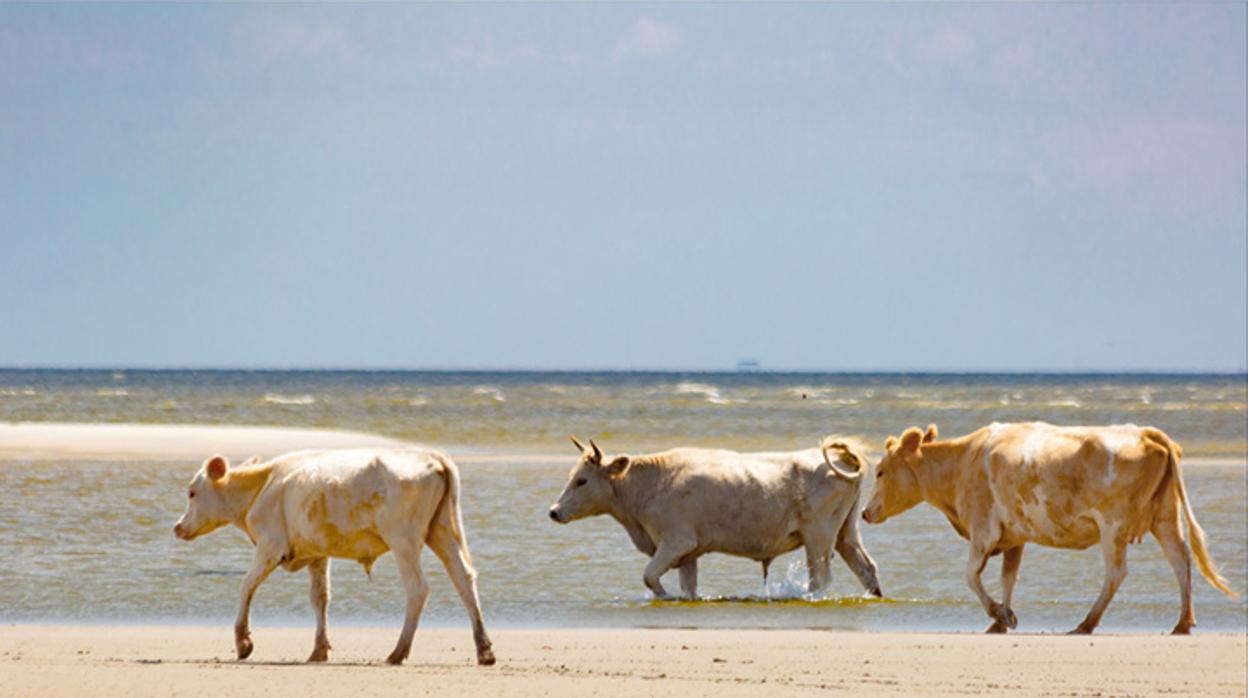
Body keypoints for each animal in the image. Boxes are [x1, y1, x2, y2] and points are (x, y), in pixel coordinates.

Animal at [173, 447, 494, 664]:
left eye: (192, 492)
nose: (177, 526)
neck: (263, 486)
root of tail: (431, 455)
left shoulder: (270, 545)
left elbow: (246, 586)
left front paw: (243, 642)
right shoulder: (317, 553)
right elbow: (320, 598)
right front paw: (319, 649)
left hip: (403, 539)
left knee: (418, 588)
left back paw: (398, 652)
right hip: (441, 532)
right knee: (464, 579)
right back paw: (484, 649)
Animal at [544, 439, 878, 599]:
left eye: (582, 481)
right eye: (572, 476)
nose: (554, 511)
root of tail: (843, 460)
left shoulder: (676, 541)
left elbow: (650, 576)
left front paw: (662, 595)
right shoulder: (687, 553)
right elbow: (687, 587)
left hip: (818, 536)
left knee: (820, 578)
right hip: (845, 533)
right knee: (866, 568)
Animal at [863, 424, 1233, 636]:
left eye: (880, 471)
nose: (866, 513)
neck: (962, 462)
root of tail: (1146, 432)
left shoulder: (983, 529)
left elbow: (970, 577)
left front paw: (999, 613)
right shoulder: (1013, 535)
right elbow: (1008, 578)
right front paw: (1001, 619)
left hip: (1113, 525)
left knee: (1116, 573)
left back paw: (1086, 624)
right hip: (1165, 517)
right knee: (1181, 560)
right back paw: (1182, 622)